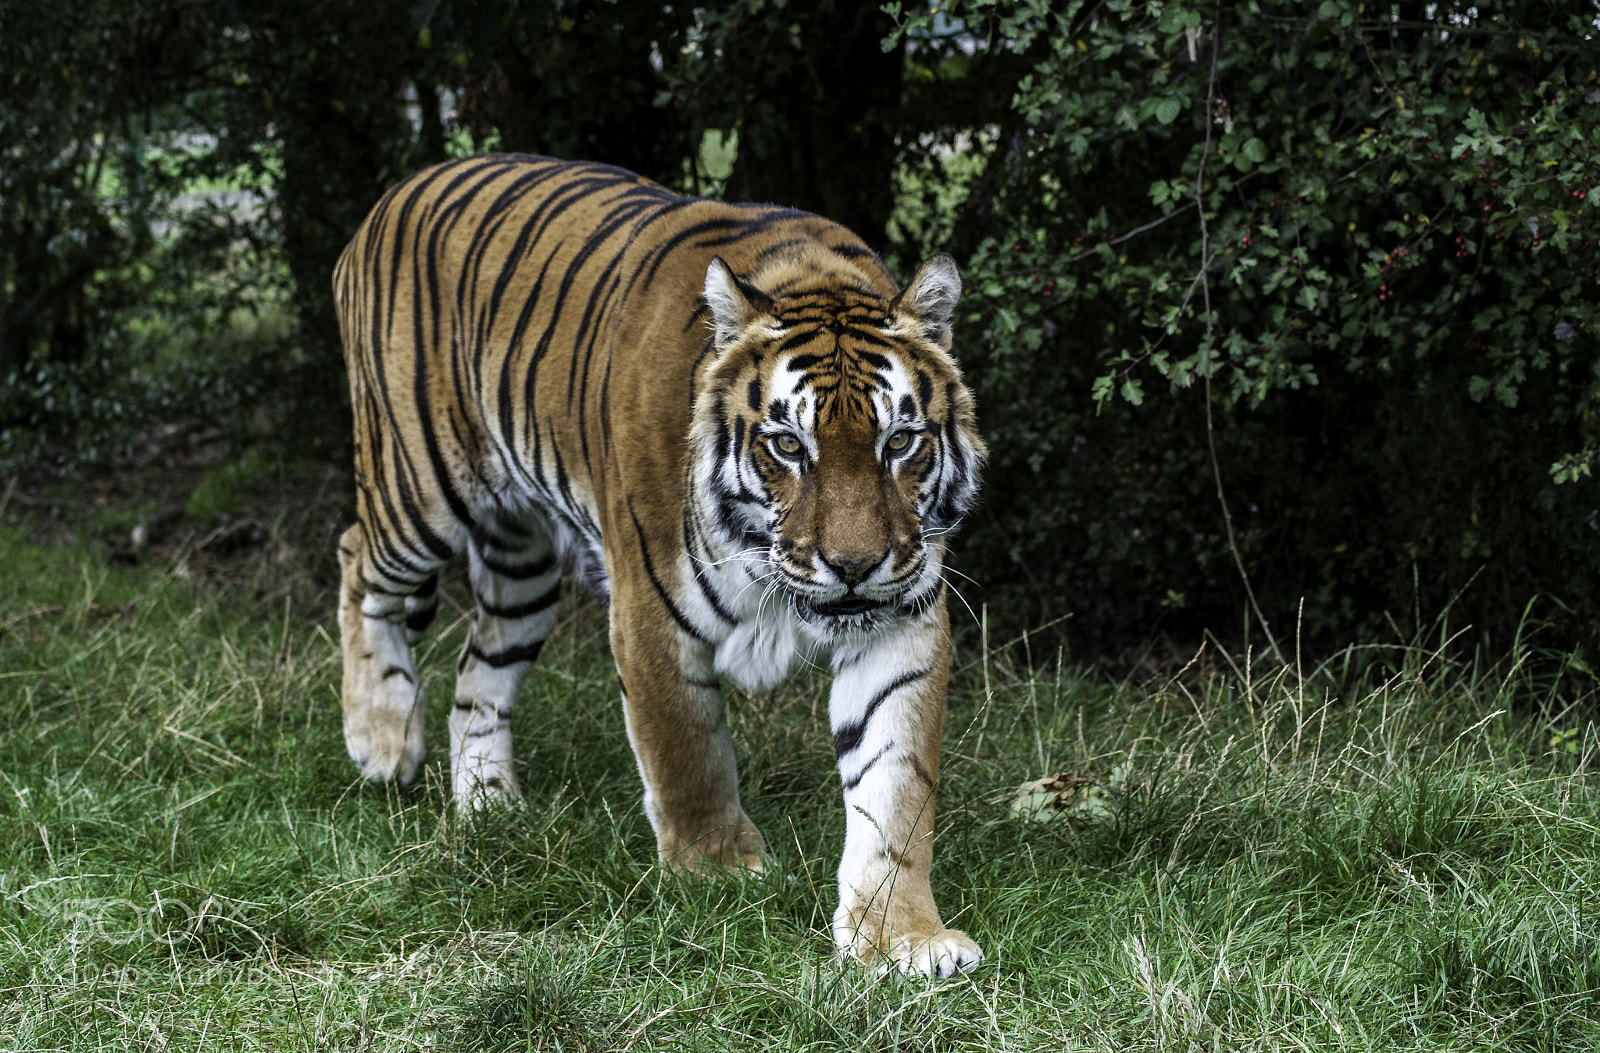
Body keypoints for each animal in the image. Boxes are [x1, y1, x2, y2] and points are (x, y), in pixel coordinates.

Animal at [332, 154, 986, 977]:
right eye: (788, 446)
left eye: (899, 441)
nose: (854, 564)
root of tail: (395, 193)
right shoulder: (649, 609)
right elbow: (687, 747)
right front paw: (718, 870)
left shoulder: (900, 622)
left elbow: (897, 785)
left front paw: (903, 937)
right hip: (419, 486)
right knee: (357, 561)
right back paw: (382, 739)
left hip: (521, 565)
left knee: (479, 674)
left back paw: (490, 808)